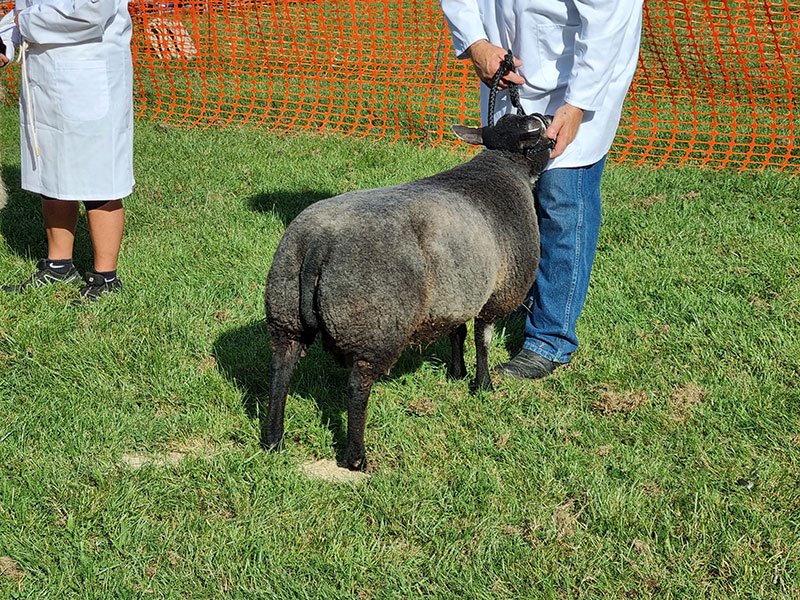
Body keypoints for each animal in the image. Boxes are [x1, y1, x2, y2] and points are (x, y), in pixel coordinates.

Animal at [263, 112, 554, 470]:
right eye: (537, 128)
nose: (552, 119)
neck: (505, 165)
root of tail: (319, 241)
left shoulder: (457, 291)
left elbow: (456, 332)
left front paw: (457, 373)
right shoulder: (498, 293)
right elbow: (482, 340)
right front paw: (483, 386)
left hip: (286, 311)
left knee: (281, 368)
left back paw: (273, 439)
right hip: (376, 323)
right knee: (357, 386)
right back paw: (355, 458)